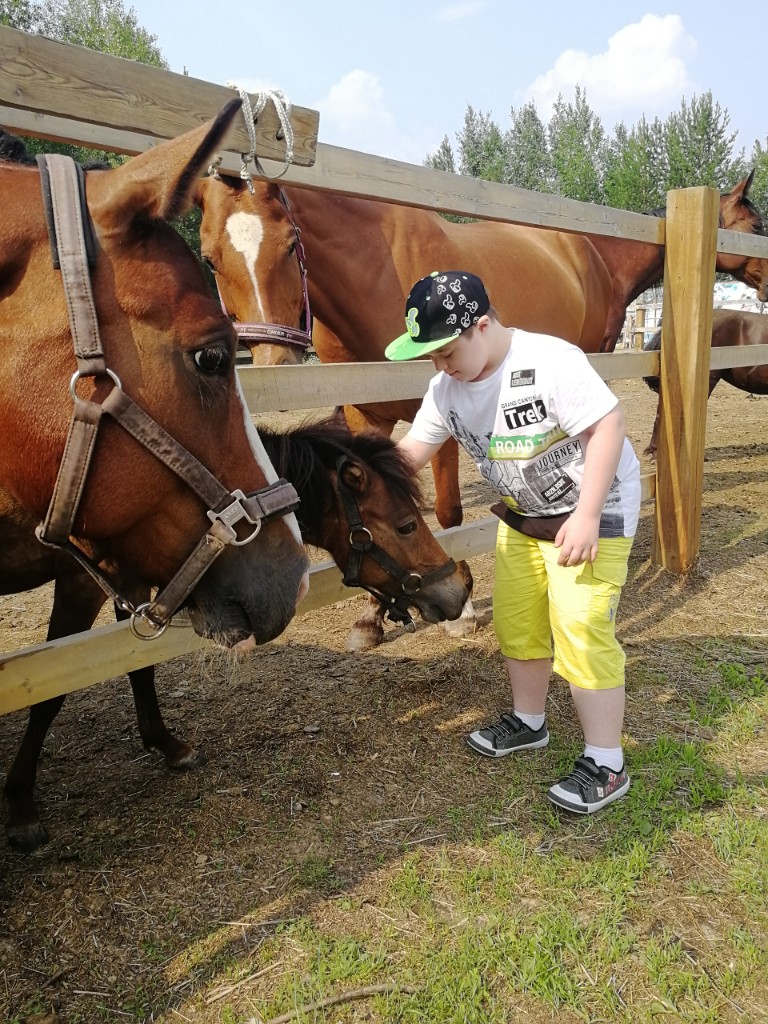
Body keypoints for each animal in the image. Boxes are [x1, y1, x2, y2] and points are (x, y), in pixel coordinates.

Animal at [3, 415, 466, 847]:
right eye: (406, 525)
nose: (457, 592)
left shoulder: (129, 583)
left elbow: (139, 667)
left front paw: (168, 745)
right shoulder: (79, 583)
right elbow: (50, 693)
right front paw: (21, 804)